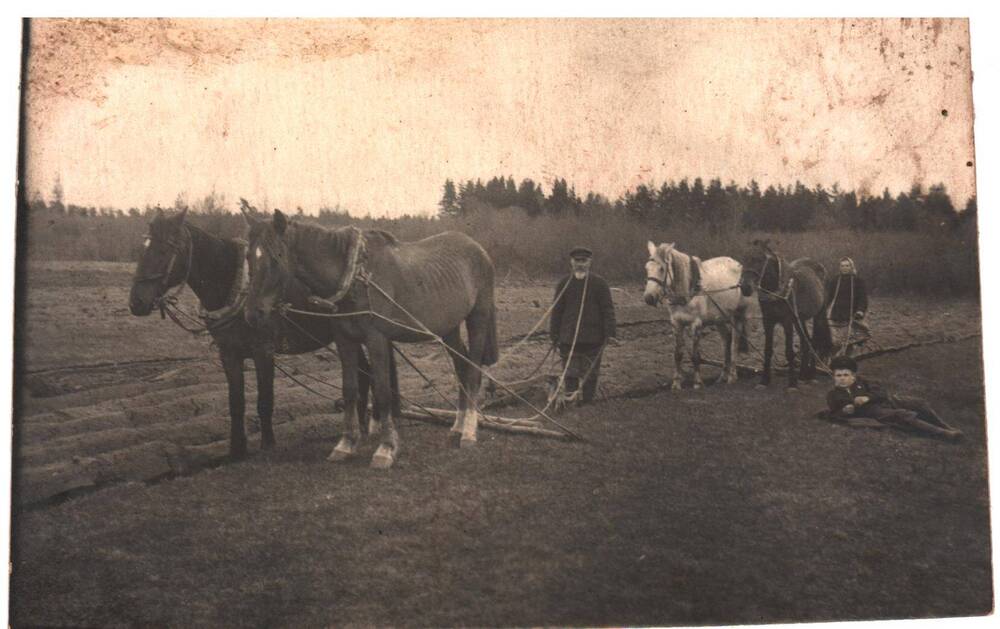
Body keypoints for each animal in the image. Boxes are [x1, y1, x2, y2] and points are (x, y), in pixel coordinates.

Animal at [130, 209, 398, 458]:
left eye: (163, 250)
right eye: (142, 249)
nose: (136, 303)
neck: (234, 286)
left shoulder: (263, 351)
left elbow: (265, 400)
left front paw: (268, 444)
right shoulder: (228, 354)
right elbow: (236, 402)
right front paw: (236, 449)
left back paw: (369, 427)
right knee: (364, 374)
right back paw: (361, 429)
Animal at [243, 210, 500, 466]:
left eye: (276, 256)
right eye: (248, 256)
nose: (253, 313)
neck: (356, 275)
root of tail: (479, 249)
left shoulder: (376, 339)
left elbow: (383, 392)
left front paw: (386, 448)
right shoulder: (344, 340)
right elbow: (349, 390)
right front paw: (346, 444)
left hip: (478, 318)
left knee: (473, 371)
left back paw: (468, 432)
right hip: (449, 328)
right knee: (461, 367)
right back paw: (457, 427)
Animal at [644, 240, 752, 388]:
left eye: (661, 268)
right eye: (647, 268)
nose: (648, 298)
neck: (688, 289)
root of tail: (738, 265)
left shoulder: (696, 324)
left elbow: (696, 355)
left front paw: (697, 383)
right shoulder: (676, 323)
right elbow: (678, 354)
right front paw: (676, 384)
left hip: (737, 316)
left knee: (734, 344)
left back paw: (731, 377)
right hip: (719, 319)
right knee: (726, 341)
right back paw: (722, 377)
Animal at [740, 239, 832, 388]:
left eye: (759, 259)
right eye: (744, 258)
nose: (745, 288)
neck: (776, 291)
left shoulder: (787, 321)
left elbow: (789, 352)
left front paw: (792, 384)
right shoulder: (768, 320)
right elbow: (768, 350)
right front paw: (764, 380)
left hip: (818, 315)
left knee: (814, 342)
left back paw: (811, 375)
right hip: (799, 319)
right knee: (806, 341)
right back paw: (803, 375)